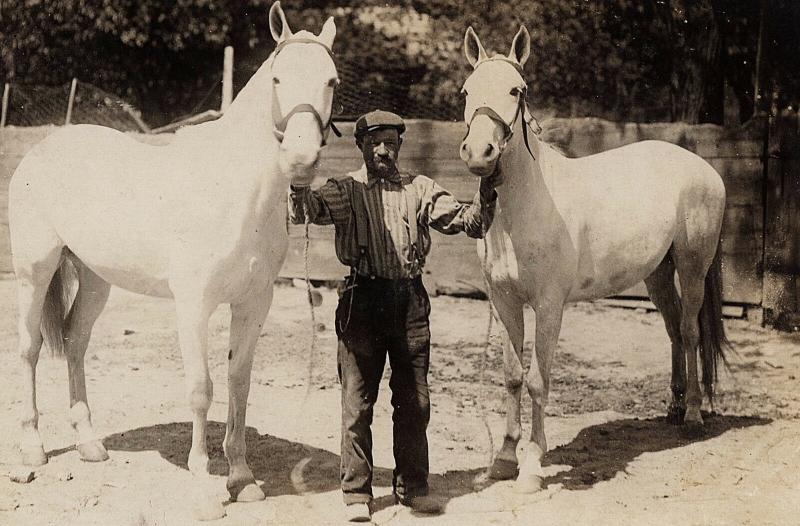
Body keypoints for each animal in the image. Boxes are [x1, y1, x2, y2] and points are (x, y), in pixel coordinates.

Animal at [9, 2, 340, 520]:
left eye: (332, 81)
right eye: (277, 78)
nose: (301, 158)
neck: (236, 191)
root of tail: (42, 149)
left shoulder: (254, 304)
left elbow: (239, 384)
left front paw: (242, 479)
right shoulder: (194, 305)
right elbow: (202, 390)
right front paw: (204, 491)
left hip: (95, 279)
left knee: (76, 343)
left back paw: (89, 445)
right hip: (34, 272)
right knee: (30, 349)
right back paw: (33, 450)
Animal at [460, 24, 728, 496]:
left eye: (516, 90)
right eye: (467, 91)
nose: (480, 154)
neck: (525, 207)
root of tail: (704, 168)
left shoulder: (549, 306)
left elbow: (537, 380)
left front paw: (532, 467)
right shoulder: (505, 303)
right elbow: (512, 376)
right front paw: (503, 461)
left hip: (693, 267)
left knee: (691, 331)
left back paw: (694, 415)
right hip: (658, 275)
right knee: (673, 330)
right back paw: (674, 407)